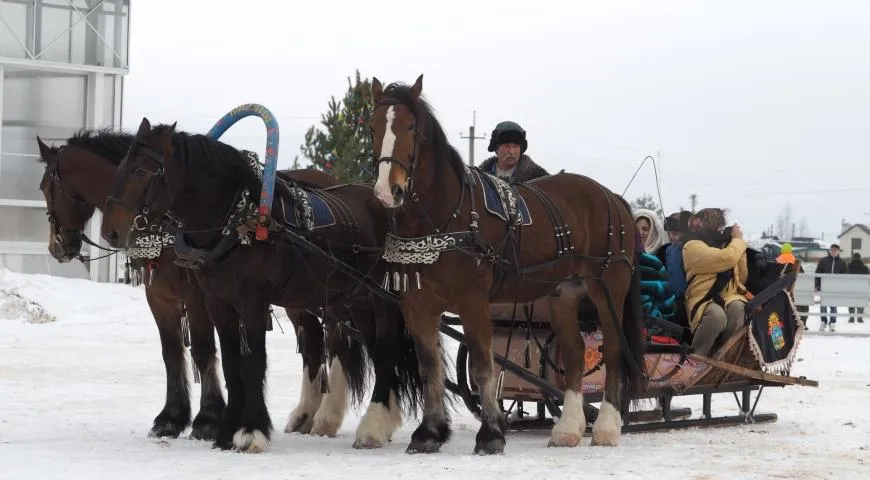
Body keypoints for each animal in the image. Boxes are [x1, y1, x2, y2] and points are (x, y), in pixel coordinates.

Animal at [35, 130, 372, 442]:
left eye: (45, 186)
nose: (57, 247)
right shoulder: (159, 296)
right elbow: (171, 352)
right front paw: (171, 418)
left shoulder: (198, 295)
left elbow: (203, 350)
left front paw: (208, 418)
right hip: (301, 298)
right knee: (314, 346)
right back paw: (305, 415)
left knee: (335, 345)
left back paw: (326, 417)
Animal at [97, 119, 430, 454]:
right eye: (121, 166)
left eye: (142, 171)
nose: (110, 232)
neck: (238, 219)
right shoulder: (218, 303)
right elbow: (231, 365)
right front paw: (226, 433)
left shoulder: (252, 301)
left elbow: (254, 364)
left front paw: (251, 431)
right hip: (357, 301)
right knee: (376, 352)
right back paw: (381, 421)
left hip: (381, 300)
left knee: (385, 351)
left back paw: (371, 428)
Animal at [366, 75, 648, 454]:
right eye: (372, 127)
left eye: (411, 127)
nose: (388, 190)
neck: (444, 218)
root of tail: (612, 197)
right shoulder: (417, 305)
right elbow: (430, 368)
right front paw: (429, 433)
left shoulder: (473, 302)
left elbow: (483, 367)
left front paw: (491, 433)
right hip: (564, 292)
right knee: (574, 353)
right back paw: (568, 429)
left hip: (609, 288)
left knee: (615, 349)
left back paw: (606, 427)